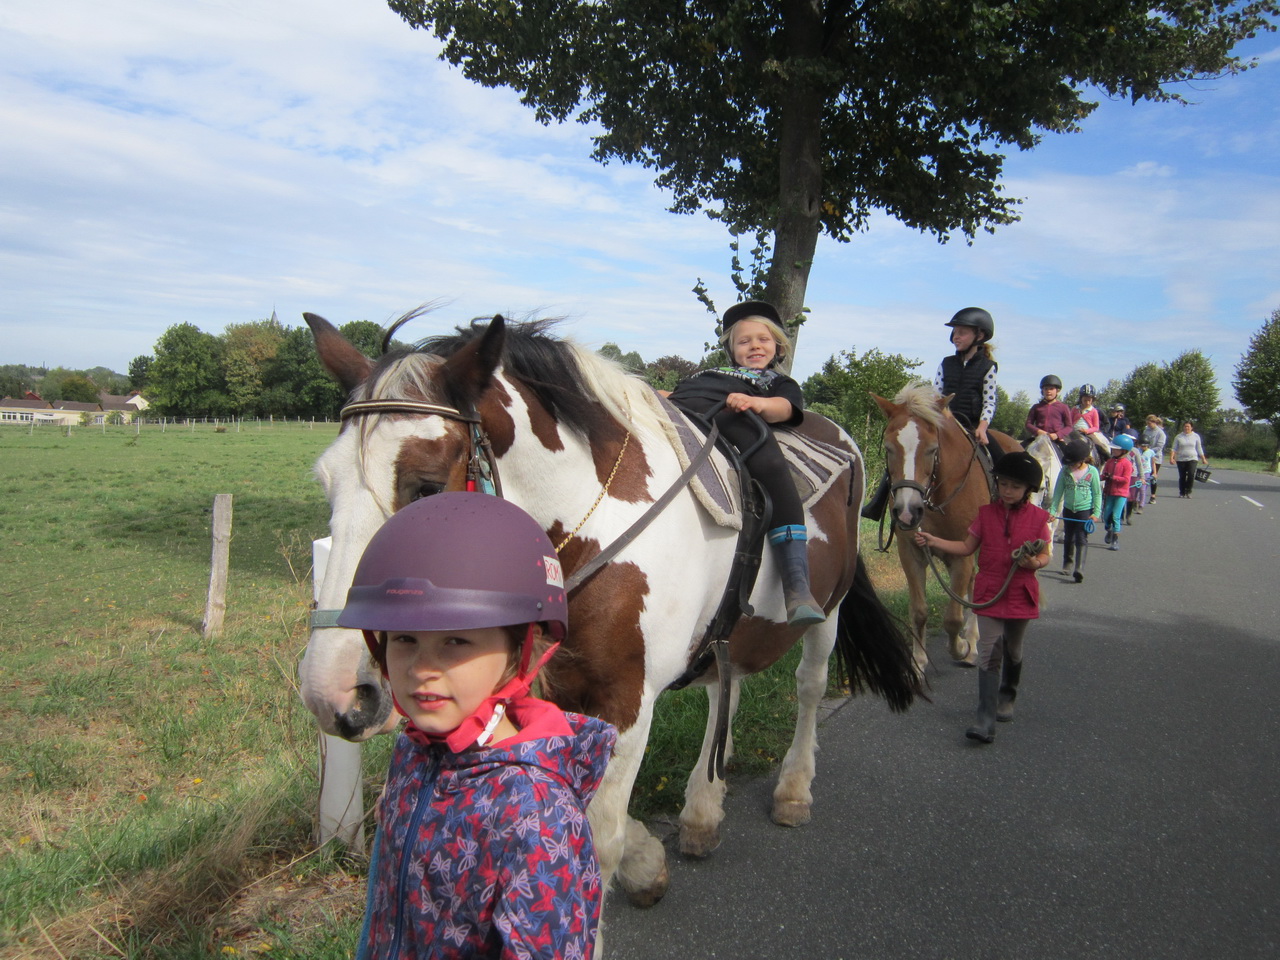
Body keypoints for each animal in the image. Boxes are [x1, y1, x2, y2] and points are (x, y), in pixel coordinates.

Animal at [299, 310, 921, 918]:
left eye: (427, 488)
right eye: (326, 481)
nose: (337, 694)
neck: (593, 522)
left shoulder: (627, 701)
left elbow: (599, 842)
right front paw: (649, 862)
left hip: (829, 610)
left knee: (810, 686)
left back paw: (793, 789)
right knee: (726, 688)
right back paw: (702, 808)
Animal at [870, 382, 1022, 674]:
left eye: (932, 449)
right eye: (889, 447)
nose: (907, 510)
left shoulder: (962, 556)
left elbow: (953, 618)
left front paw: (962, 647)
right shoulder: (912, 553)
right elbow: (919, 610)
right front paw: (918, 662)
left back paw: (973, 645)